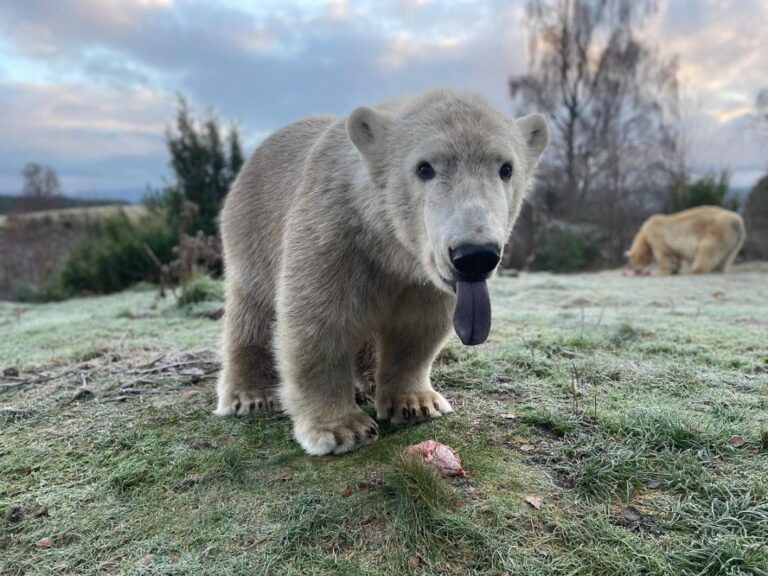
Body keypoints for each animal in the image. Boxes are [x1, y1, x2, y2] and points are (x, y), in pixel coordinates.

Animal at [214, 89, 544, 454]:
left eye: (506, 168)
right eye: (424, 168)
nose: (475, 256)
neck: (390, 246)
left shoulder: (421, 279)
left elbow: (418, 328)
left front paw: (415, 403)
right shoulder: (332, 235)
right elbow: (318, 323)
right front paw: (342, 429)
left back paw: (370, 379)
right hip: (251, 229)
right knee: (251, 309)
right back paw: (250, 395)